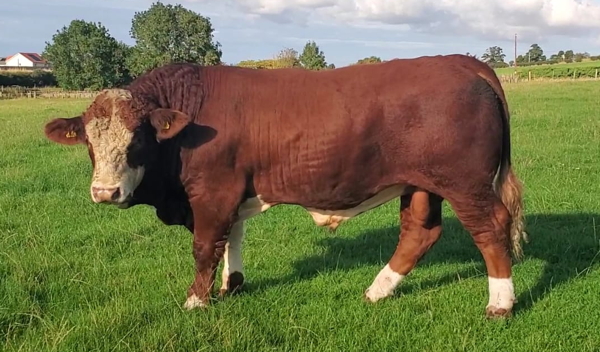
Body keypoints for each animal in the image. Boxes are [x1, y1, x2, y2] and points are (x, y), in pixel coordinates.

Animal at [44, 54, 528, 320]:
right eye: (89, 142)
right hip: (421, 183)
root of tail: (460, 61)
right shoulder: (232, 193)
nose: (105, 193)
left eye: (138, 139)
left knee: (490, 229)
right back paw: (378, 290)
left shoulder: (212, 193)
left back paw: (501, 303)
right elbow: (231, 238)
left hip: (465, 183)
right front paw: (232, 285)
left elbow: (205, 247)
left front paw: (196, 302)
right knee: (420, 232)